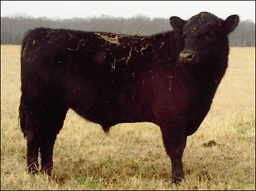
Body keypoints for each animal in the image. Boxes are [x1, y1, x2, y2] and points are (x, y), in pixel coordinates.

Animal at [19, 12, 239, 184]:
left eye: (210, 34)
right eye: (185, 35)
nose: (186, 56)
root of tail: (41, 32)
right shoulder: (172, 118)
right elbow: (176, 149)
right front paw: (178, 179)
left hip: (55, 106)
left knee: (49, 137)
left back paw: (48, 173)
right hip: (37, 103)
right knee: (34, 135)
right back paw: (32, 173)